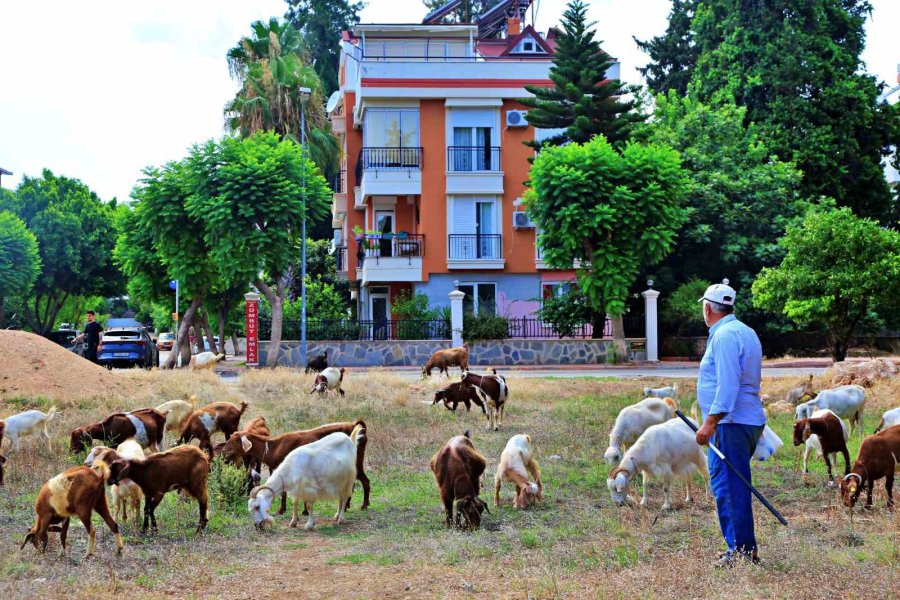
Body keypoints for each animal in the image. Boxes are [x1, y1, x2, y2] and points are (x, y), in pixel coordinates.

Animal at [220, 420, 370, 512]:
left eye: (234, 441)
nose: (223, 451)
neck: (274, 447)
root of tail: (356, 425)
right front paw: (287, 510)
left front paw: (287, 510)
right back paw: (348, 505)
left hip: (356, 462)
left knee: (365, 481)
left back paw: (363, 505)